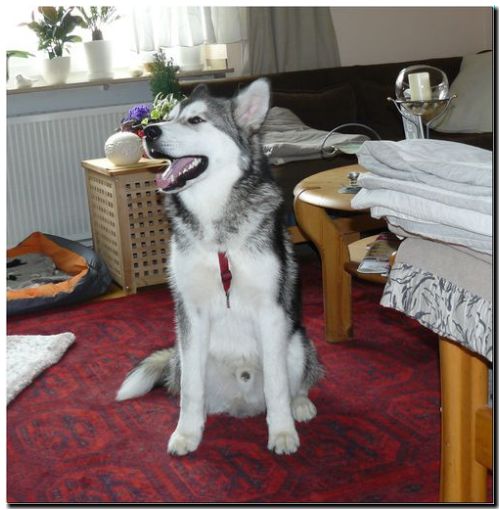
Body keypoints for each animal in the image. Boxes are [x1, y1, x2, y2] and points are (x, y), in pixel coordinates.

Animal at [116, 78, 323, 456]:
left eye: (196, 120)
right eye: (169, 117)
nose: (149, 131)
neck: (218, 236)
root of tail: (241, 404)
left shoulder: (271, 313)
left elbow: (277, 385)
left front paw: (282, 432)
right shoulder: (191, 313)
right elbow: (191, 391)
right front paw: (186, 433)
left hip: (297, 340)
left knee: (295, 383)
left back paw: (300, 405)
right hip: (182, 355)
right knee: (189, 386)